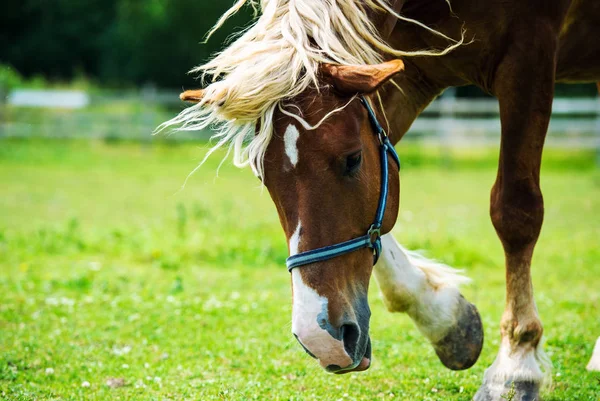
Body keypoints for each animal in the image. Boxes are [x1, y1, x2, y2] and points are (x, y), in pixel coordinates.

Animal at [164, 0, 600, 400]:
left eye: (353, 158)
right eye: (261, 175)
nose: (320, 337)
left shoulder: (529, 54)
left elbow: (515, 209)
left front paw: (515, 365)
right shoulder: (408, 73)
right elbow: (384, 216)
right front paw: (447, 320)